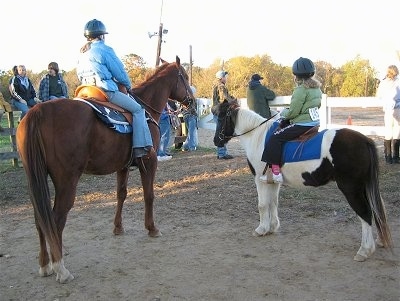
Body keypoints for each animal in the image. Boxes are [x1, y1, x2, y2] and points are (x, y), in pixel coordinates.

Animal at [16, 55, 195, 282]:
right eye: (184, 77)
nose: (193, 102)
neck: (145, 108)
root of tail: (38, 111)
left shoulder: (123, 166)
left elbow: (121, 194)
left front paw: (118, 227)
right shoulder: (149, 161)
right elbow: (149, 195)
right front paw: (152, 228)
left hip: (35, 178)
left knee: (40, 218)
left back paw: (45, 265)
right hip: (66, 181)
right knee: (55, 219)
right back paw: (60, 268)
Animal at [214, 99, 392, 262]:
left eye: (221, 117)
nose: (217, 141)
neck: (258, 137)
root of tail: (365, 140)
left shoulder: (260, 180)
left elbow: (262, 205)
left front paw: (261, 229)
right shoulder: (272, 182)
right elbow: (273, 203)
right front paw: (272, 227)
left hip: (351, 189)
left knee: (365, 213)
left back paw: (365, 250)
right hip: (363, 187)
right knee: (376, 209)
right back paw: (378, 241)